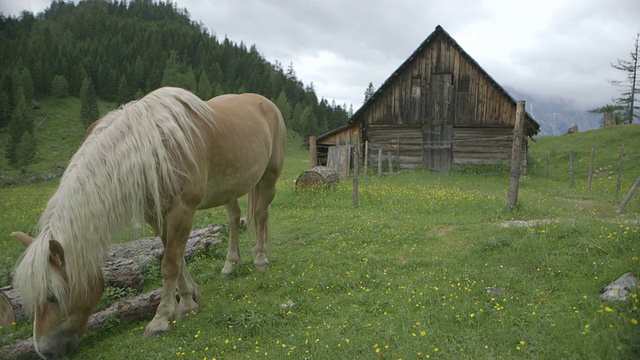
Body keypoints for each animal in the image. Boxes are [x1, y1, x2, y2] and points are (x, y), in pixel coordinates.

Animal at [9, 87, 284, 360]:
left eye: (52, 296)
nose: (44, 351)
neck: (150, 149)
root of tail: (264, 102)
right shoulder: (156, 215)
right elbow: (176, 258)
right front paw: (189, 300)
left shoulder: (182, 210)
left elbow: (170, 264)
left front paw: (161, 319)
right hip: (231, 188)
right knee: (234, 219)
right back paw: (229, 265)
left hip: (269, 177)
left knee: (260, 215)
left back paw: (260, 259)